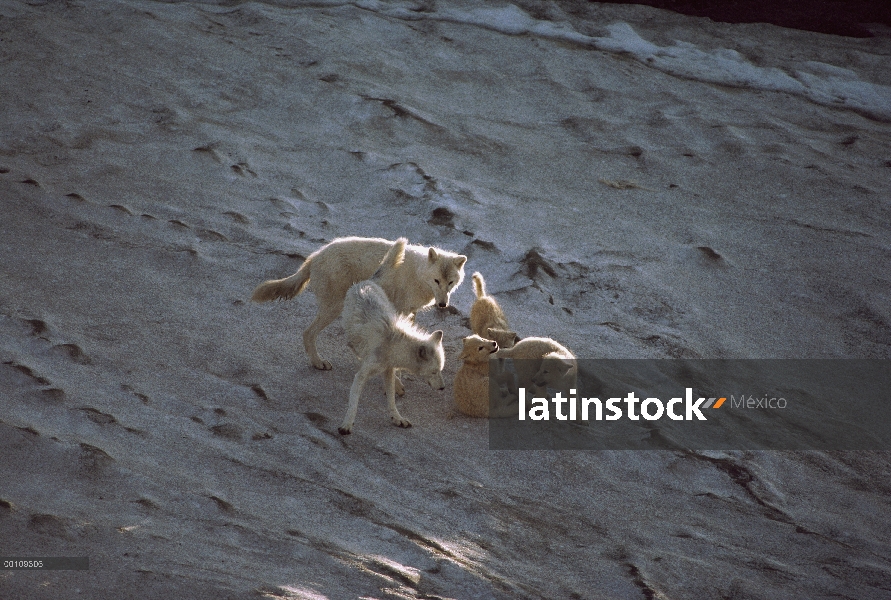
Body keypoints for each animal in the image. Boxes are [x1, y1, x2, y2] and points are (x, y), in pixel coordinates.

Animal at [251, 234, 466, 370]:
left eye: (450, 282)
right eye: (437, 281)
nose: (442, 305)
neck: (419, 273)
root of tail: (315, 256)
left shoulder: (410, 311)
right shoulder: (400, 310)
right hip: (334, 309)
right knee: (308, 333)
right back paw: (318, 362)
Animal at [338, 239, 446, 436]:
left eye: (440, 370)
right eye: (434, 371)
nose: (443, 388)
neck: (392, 346)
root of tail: (368, 282)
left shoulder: (388, 371)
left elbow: (391, 400)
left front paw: (397, 418)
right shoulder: (362, 375)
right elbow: (353, 402)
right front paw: (347, 425)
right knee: (353, 347)